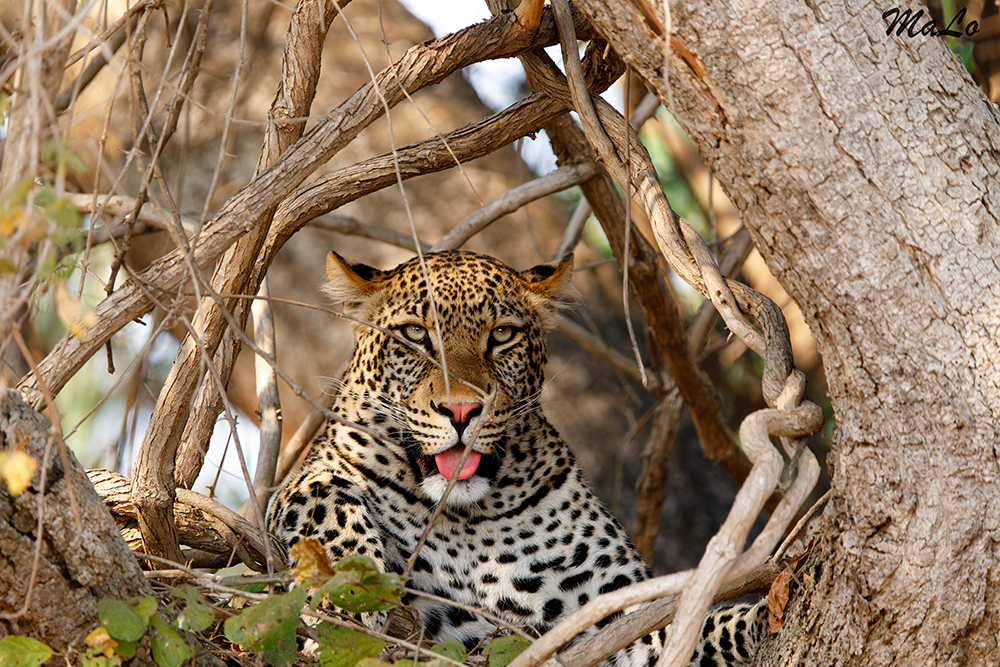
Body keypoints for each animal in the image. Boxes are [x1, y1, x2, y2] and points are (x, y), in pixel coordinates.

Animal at [267, 250, 768, 667]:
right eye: (415, 334)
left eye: (502, 335)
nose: (462, 410)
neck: (466, 520)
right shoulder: (303, 482)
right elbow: (324, 497)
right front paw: (345, 594)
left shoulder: (614, 619)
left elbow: (693, 627)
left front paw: (765, 615)